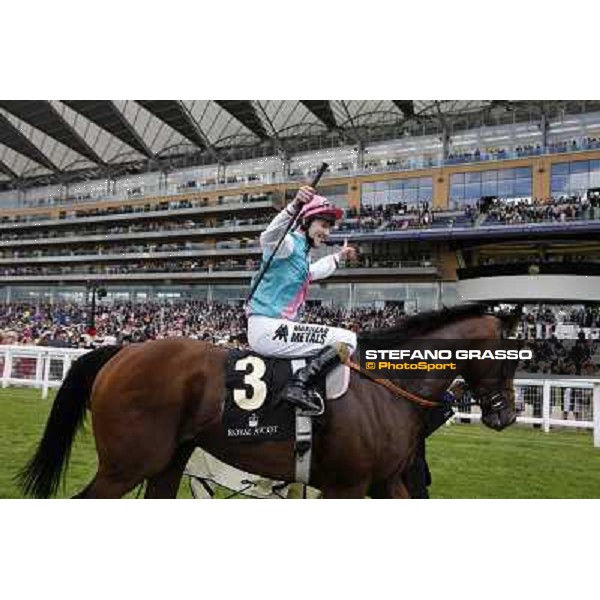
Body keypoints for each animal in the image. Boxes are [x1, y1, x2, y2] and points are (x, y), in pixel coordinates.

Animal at [18, 304, 520, 496]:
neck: (384, 388)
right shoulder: (346, 486)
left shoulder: (385, 481)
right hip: (127, 464)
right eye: (515, 356)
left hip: (168, 461)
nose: (507, 414)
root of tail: (122, 350)